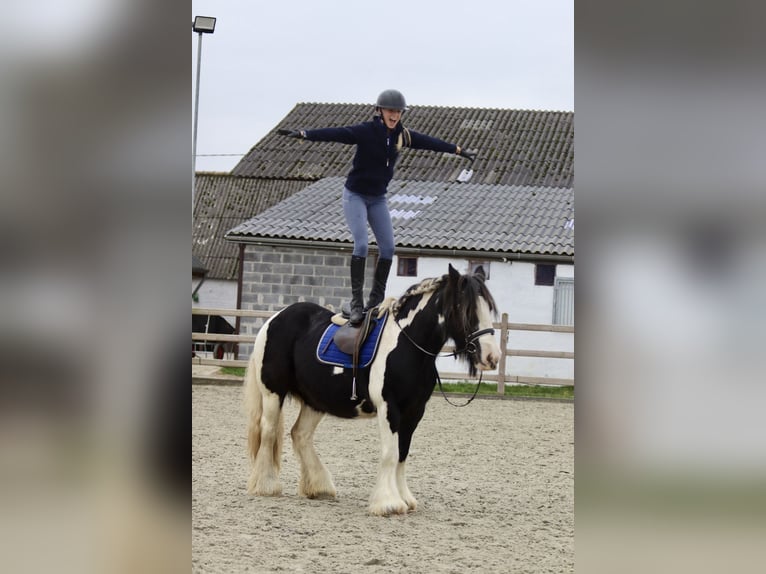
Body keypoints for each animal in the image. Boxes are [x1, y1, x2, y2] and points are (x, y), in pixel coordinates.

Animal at [243, 266, 500, 516]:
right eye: (464, 308)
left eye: (489, 307)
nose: (492, 357)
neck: (408, 344)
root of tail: (274, 319)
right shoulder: (389, 408)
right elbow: (390, 454)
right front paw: (388, 503)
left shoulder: (414, 412)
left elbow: (402, 453)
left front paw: (405, 498)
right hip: (273, 393)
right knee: (268, 432)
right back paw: (266, 485)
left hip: (315, 400)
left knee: (301, 435)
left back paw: (319, 487)